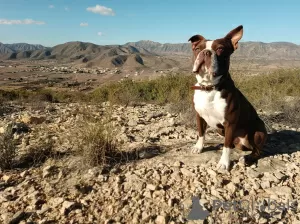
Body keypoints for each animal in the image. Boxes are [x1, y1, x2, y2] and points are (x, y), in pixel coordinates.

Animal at [189, 25, 268, 170]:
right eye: (197, 49)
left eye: (220, 49)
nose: (206, 52)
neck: (209, 87)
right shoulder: (200, 116)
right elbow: (201, 133)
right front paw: (198, 147)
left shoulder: (230, 123)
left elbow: (226, 147)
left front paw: (224, 163)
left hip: (258, 131)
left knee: (257, 150)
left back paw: (246, 158)